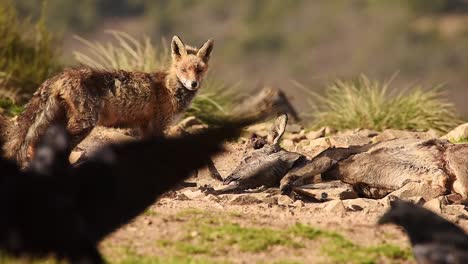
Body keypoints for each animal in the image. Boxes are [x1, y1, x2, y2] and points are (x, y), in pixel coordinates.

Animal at [3, 36, 215, 166]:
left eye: (199, 70)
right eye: (184, 70)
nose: (193, 84)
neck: (169, 87)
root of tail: (61, 74)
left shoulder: (145, 126)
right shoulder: (157, 126)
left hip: (59, 120)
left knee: (35, 144)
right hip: (84, 124)